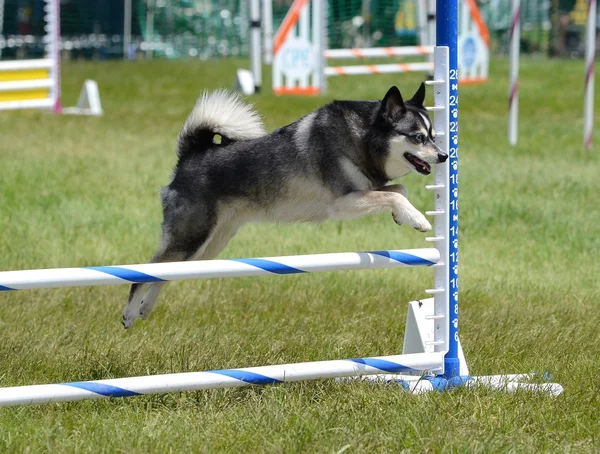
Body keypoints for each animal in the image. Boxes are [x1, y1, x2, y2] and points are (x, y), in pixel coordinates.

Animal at [122, 83, 448, 328]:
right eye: (418, 137)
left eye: (434, 137)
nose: (444, 156)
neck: (363, 138)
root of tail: (191, 154)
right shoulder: (342, 202)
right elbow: (395, 194)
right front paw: (418, 219)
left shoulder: (364, 192)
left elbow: (399, 190)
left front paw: (403, 216)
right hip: (191, 237)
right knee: (145, 271)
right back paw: (129, 313)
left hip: (207, 247)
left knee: (165, 274)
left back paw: (145, 308)